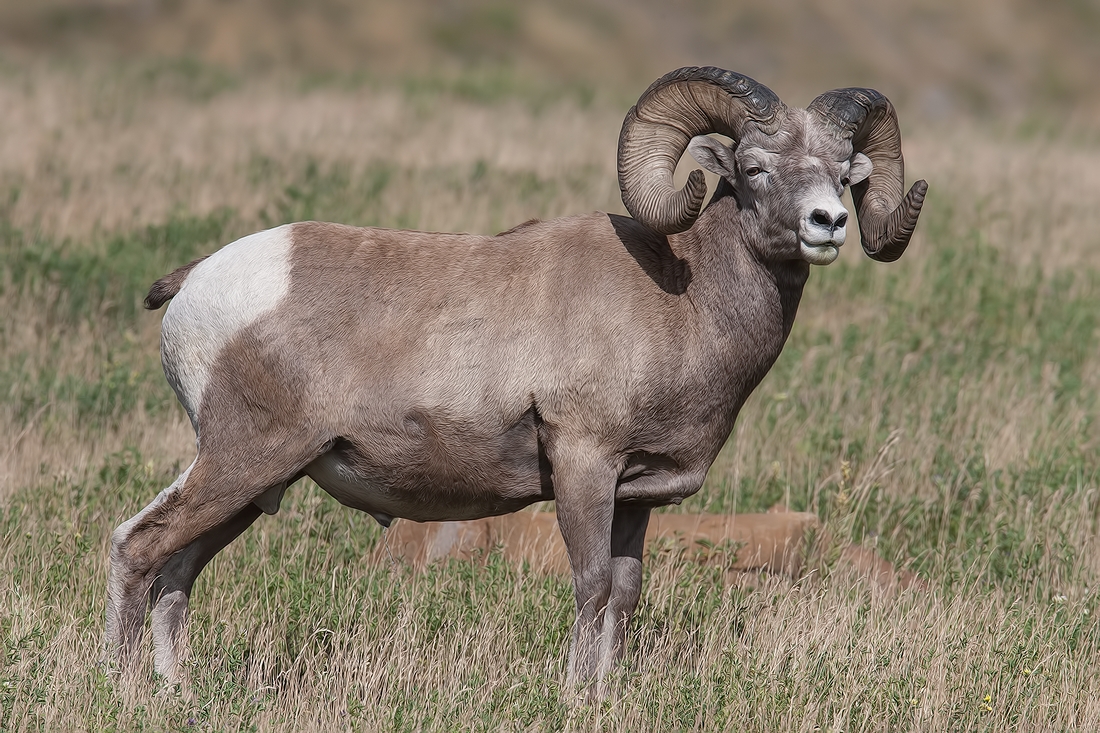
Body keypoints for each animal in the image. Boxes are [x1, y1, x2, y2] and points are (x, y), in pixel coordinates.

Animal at [105, 67, 928, 691]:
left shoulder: (635, 496)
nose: (828, 224)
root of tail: (196, 283)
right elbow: (591, 586)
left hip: (254, 486)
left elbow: (624, 593)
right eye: (754, 168)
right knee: (137, 548)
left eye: (841, 173)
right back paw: (125, 691)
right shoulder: (583, 466)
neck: (682, 296)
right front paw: (573, 697)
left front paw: (603, 696)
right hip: (242, 461)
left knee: (176, 573)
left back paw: (177, 693)